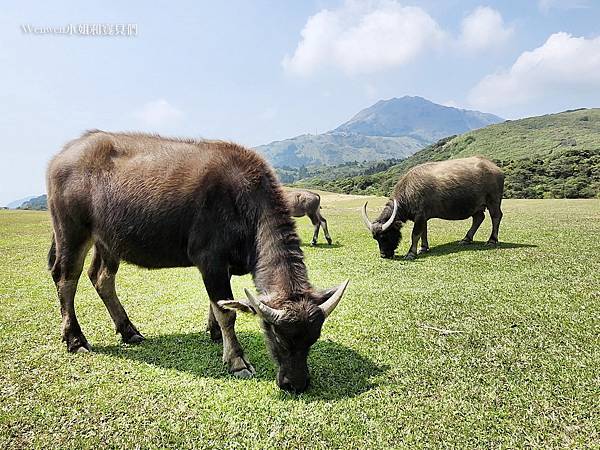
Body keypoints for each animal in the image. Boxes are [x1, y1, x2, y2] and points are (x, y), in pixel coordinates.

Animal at [47, 129, 350, 390]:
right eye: (276, 334)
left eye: (313, 338)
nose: (296, 384)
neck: (243, 203)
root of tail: (61, 155)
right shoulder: (211, 262)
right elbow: (227, 312)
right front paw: (237, 360)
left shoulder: (223, 267)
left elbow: (217, 304)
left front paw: (214, 333)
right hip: (72, 232)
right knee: (66, 279)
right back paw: (75, 339)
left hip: (107, 241)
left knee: (101, 278)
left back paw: (128, 330)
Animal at [364, 156, 504, 258]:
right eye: (375, 238)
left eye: (385, 236)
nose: (383, 255)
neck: (408, 192)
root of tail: (495, 168)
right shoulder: (423, 218)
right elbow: (423, 232)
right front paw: (423, 248)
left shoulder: (420, 216)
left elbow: (415, 234)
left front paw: (411, 253)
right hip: (475, 205)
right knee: (479, 218)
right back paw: (466, 239)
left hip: (493, 200)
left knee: (496, 216)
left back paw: (492, 240)